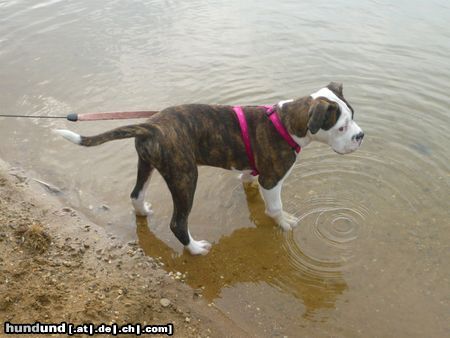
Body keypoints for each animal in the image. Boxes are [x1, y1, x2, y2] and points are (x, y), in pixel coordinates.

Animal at [54, 82, 364, 255]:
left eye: (353, 117)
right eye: (341, 127)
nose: (360, 136)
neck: (287, 122)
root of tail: (150, 125)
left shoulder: (254, 170)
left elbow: (247, 180)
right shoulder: (272, 179)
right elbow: (275, 207)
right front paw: (284, 222)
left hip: (147, 164)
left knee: (135, 194)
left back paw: (142, 211)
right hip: (184, 176)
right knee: (178, 222)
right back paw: (194, 249)